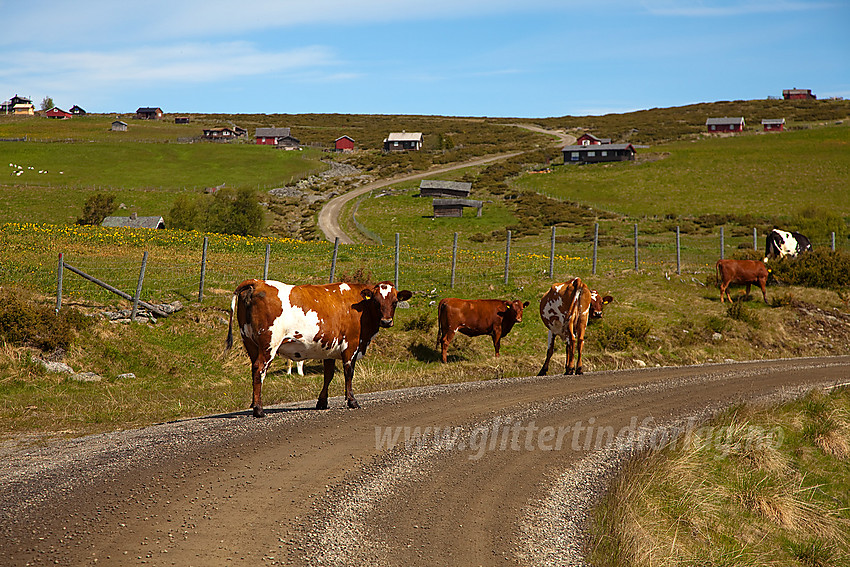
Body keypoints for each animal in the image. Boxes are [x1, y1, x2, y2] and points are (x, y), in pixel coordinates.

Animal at [225, 280, 410, 418]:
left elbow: (328, 375)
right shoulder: (351, 345)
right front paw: (351, 401)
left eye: (394, 302)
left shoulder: (329, 348)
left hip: (250, 343)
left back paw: (253, 404)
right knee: (259, 370)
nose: (386, 321)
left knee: (254, 369)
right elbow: (348, 373)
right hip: (269, 344)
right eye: (377, 302)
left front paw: (322, 402)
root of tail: (257, 282)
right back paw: (259, 409)